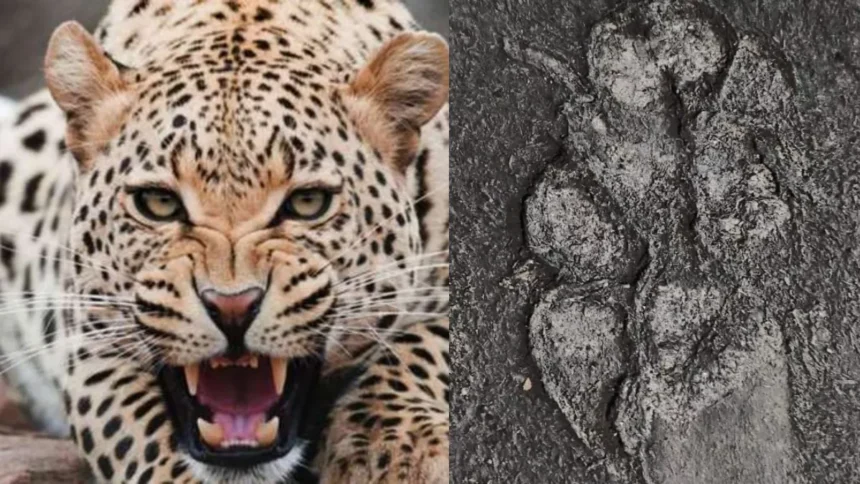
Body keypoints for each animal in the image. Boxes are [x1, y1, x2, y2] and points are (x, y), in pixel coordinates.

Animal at [0, 0, 449, 482]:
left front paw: (401, 450)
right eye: (158, 204)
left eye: (308, 203)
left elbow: (419, 351)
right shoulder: (92, 345)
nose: (232, 308)